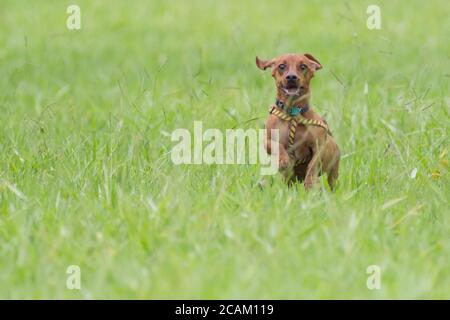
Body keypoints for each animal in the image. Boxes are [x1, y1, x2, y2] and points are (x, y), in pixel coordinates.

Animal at [255, 52, 340, 188]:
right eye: (281, 66)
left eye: (303, 66)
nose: (291, 77)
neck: (293, 113)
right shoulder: (267, 140)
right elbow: (277, 145)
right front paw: (283, 160)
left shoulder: (319, 146)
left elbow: (312, 165)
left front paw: (310, 182)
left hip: (334, 172)